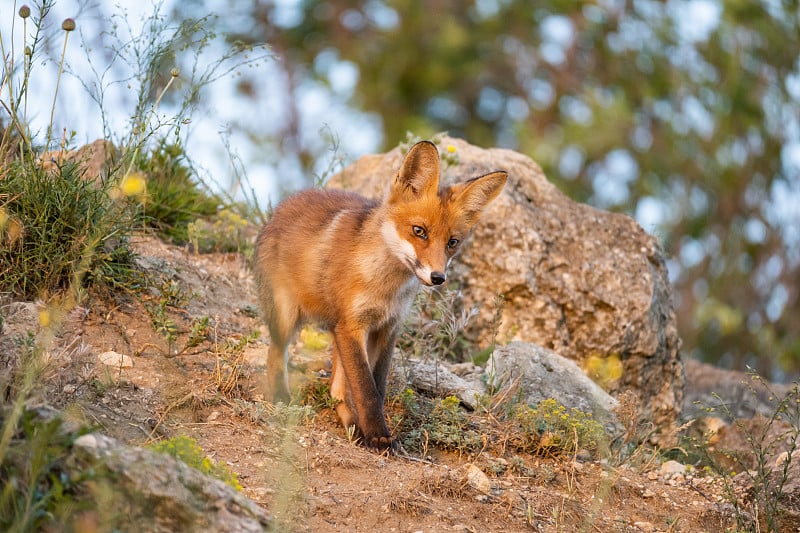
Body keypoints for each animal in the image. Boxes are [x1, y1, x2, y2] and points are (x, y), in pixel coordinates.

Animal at [256, 139, 506, 446]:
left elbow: (378, 386)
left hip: (335, 331)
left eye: (452, 242)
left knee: (336, 388)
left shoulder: (387, 327)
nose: (438, 278)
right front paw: (378, 436)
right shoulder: (353, 325)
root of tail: (284, 205)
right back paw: (282, 397)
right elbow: (366, 389)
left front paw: (373, 431)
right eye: (419, 231)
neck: (385, 288)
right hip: (288, 317)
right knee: (275, 354)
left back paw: (350, 424)